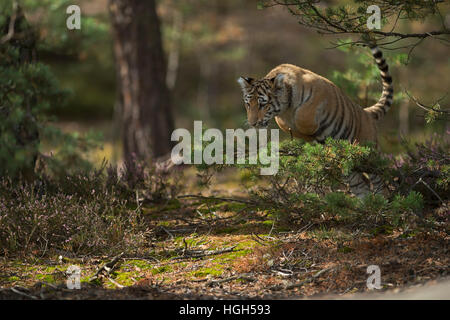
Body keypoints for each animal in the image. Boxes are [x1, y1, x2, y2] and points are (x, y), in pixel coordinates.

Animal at [237, 43, 392, 196]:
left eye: (262, 104)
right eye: (248, 104)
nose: (252, 123)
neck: (286, 108)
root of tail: (366, 112)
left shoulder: (320, 93)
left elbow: (302, 116)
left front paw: (310, 131)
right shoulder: (281, 118)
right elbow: (284, 124)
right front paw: (307, 136)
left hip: (370, 153)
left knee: (380, 180)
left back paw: (383, 198)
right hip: (350, 170)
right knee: (361, 186)